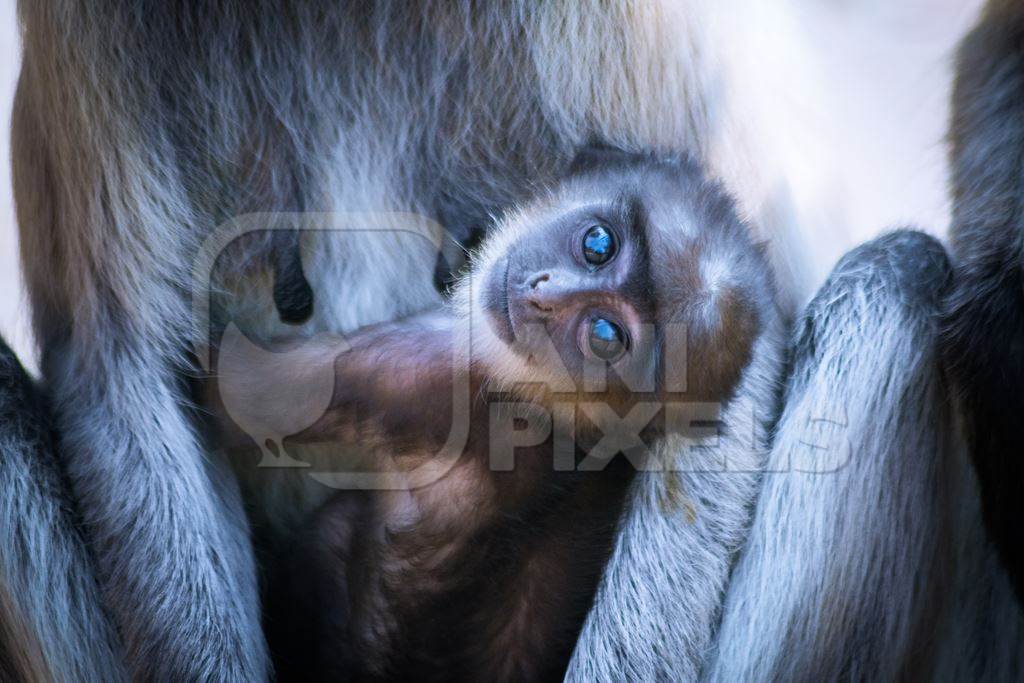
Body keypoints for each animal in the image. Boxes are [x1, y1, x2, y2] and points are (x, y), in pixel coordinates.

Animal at [205, 147, 774, 679]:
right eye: (597, 244)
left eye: (605, 335)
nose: (544, 294)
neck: (550, 411)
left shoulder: (433, 368)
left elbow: (237, 393)